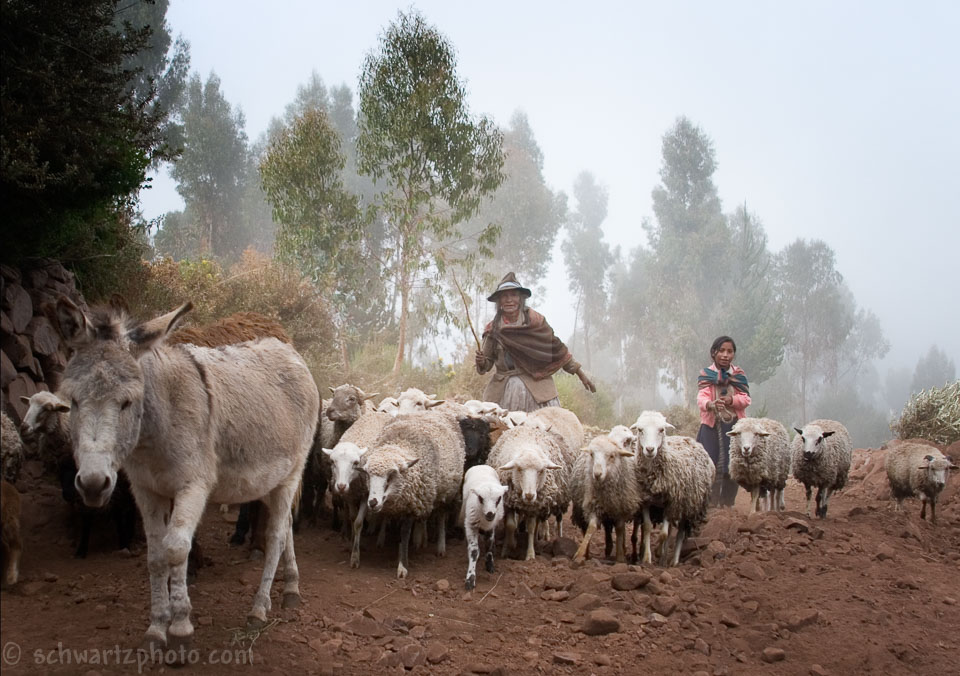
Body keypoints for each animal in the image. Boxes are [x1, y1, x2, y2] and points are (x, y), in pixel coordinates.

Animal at [360, 410, 464, 580]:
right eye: (368, 475)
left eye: (391, 475)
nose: (373, 502)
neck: (401, 443)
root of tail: (431, 411)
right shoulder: (397, 503)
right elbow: (387, 519)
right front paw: (383, 540)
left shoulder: (411, 505)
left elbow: (405, 532)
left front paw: (402, 565)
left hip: (445, 492)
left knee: (441, 517)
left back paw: (439, 546)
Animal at [460, 464, 510, 592]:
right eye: (480, 498)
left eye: (499, 498)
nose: (490, 514)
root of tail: (480, 465)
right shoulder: (471, 524)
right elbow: (474, 551)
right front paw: (470, 579)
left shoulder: (491, 526)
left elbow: (489, 544)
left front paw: (489, 564)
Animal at [568, 434, 636, 564]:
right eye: (591, 454)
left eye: (612, 456)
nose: (597, 474)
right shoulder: (593, 505)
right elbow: (591, 527)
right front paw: (579, 554)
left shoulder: (620, 509)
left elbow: (620, 529)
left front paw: (620, 558)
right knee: (587, 528)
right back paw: (590, 553)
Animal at [632, 412, 712, 564]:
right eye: (640, 430)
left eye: (661, 430)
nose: (650, 449)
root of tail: (689, 438)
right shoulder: (646, 501)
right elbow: (648, 527)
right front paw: (647, 558)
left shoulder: (672, 502)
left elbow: (663, 533)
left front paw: (657, 552)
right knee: (669, 532)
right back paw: (663, 559)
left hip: (687, 507)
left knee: (680, 533)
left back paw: (673, 561)